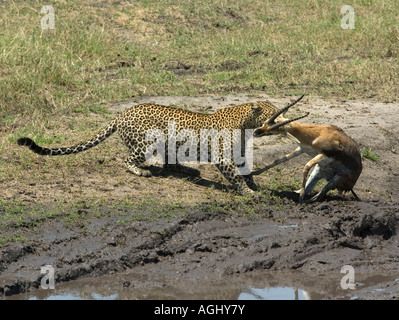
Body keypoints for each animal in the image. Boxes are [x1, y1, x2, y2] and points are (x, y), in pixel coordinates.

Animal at [18, 101, 278, 194]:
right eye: (272, 111)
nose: (281, 116)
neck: (245, 124)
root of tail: (121, 114)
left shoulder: (240, 155)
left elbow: (246, 173)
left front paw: (255, 187)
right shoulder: (224, 158)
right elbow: (236, 177)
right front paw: (249, 193)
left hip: (168, 143)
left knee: (169, 162)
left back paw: (188, 170)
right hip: (145, 142)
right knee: (127, 160)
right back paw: (141, 171)